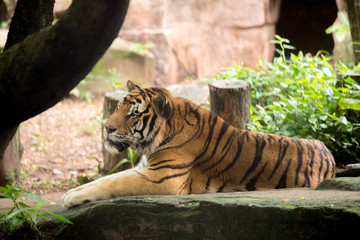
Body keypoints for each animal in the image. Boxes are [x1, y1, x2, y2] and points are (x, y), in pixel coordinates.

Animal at [61, 80, 334, 208]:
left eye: (133, 114)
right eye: (118, 107)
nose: (106, 128)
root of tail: (329, 155)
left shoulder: (162, 179)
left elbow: (115, 183)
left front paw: (72, 197)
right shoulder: (145, 169)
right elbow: (106, 179)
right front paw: (73, 192)